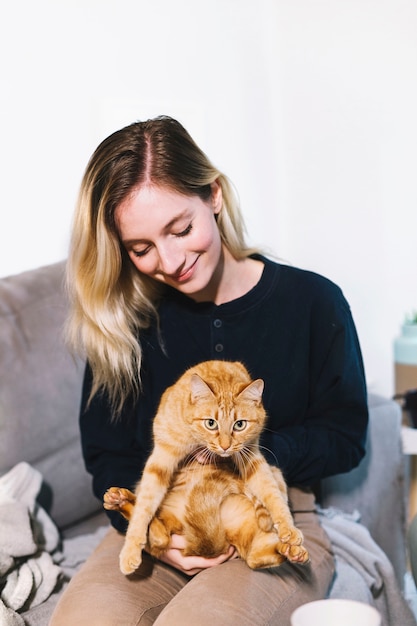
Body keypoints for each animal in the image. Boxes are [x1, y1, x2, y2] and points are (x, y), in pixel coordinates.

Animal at [102, 358, 308, 572]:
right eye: (211, 423)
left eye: (240, 425)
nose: (225, 446)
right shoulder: (162, 457)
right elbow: (144, 508)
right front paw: (131, 548)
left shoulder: (252, 457)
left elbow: (272, 495)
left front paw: (288, 527)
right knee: (158, 536)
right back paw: (119, 499)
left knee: (259, 556)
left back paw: (291, 551)